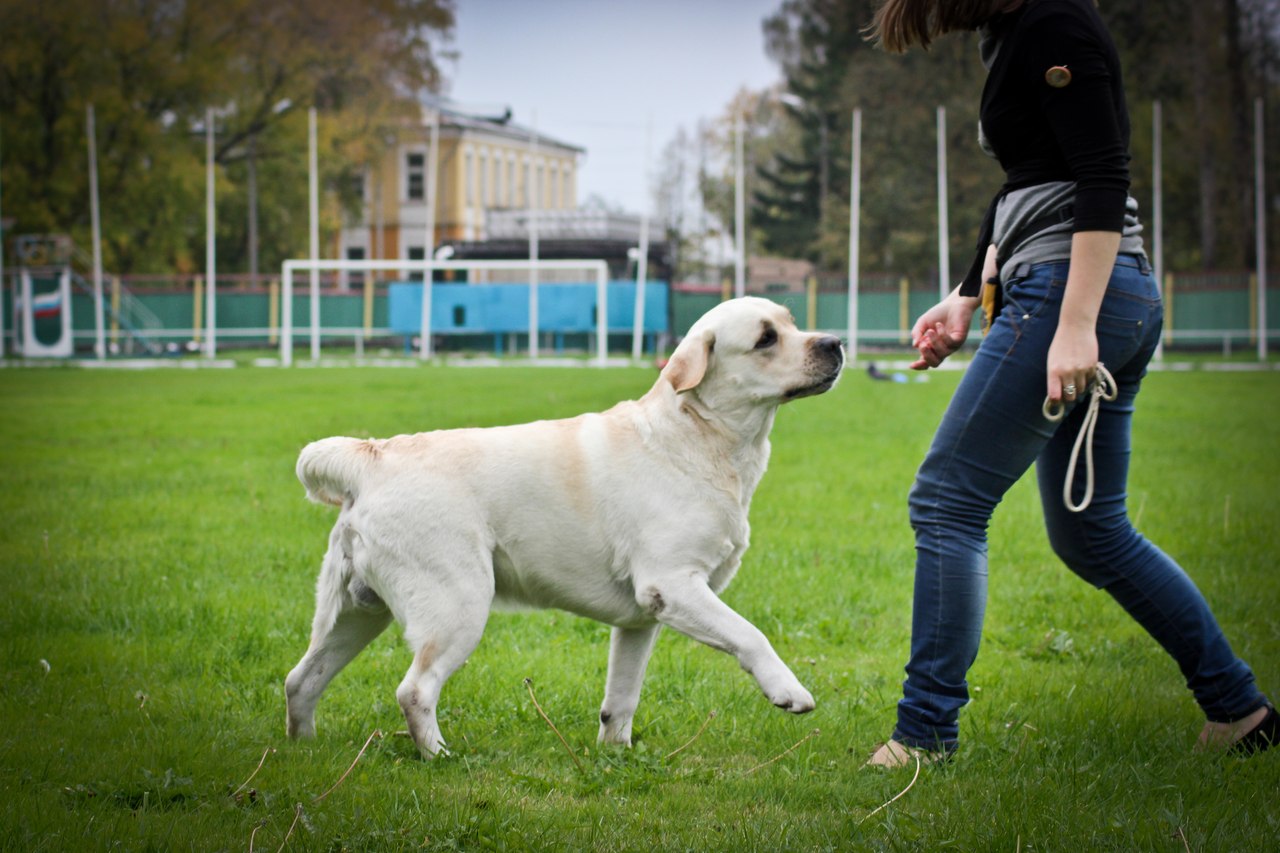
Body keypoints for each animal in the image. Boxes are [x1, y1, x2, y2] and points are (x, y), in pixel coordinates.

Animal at [285, 297, 844, 753]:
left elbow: (622, 697)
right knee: (414, 689)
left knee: (300, 679)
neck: (698, 435)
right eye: (766, 338)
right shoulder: (673, 585)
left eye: (792, 322)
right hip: (456, 604)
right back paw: (439, 755)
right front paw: (789, 691)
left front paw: (616, 755)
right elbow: (751, 635)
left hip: (355, 612)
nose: (835, 343)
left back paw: (304, 750)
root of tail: (373, 457)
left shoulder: (640, 620)